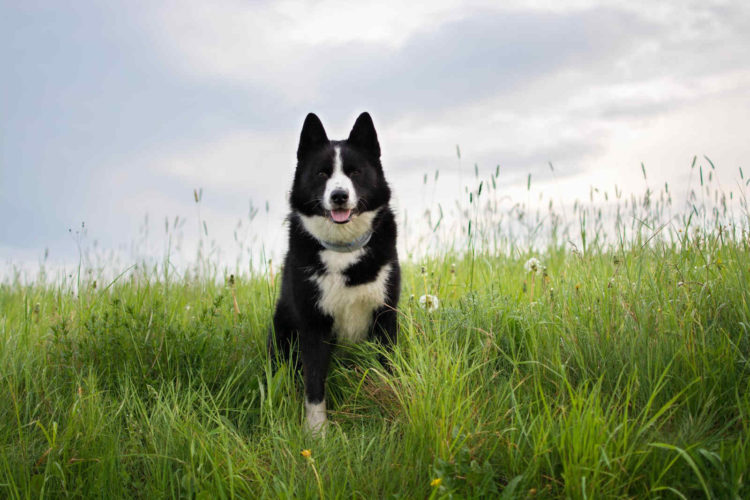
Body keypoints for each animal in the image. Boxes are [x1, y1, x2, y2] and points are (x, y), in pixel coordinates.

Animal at [268, 111, 402, 436]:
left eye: (354, 172)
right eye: (321, 174)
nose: (339, 196)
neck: (343, 250)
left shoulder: (385, 316)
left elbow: (387, 369)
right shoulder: (314, 326)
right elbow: (314, 386)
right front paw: (317, 435)